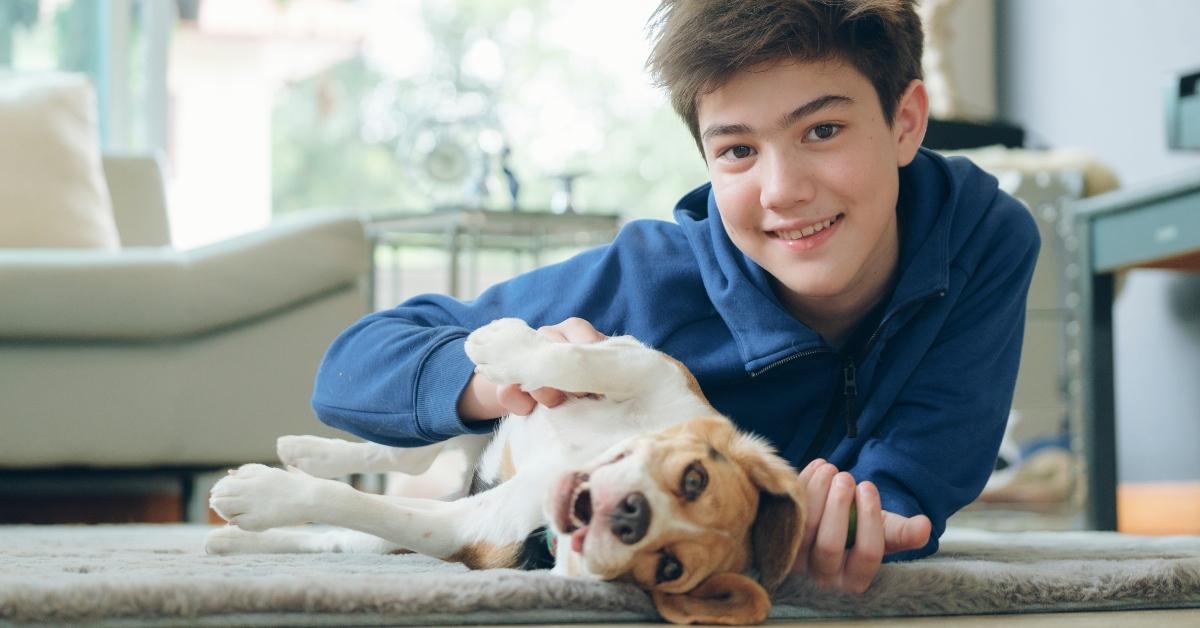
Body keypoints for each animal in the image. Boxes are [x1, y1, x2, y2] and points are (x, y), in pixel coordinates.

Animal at [206, 321, 806, 624]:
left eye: (668, 568)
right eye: (693, 478)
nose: (630, 517)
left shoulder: (460, 528)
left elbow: (354, 505)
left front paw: (263, 495)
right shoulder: (643, 365)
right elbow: (576, 360)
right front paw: (506, 340)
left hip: (414, 518)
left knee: (340, 533)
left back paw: (235, 535)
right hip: (481, 419)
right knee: (410, 453)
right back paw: (307, 451)